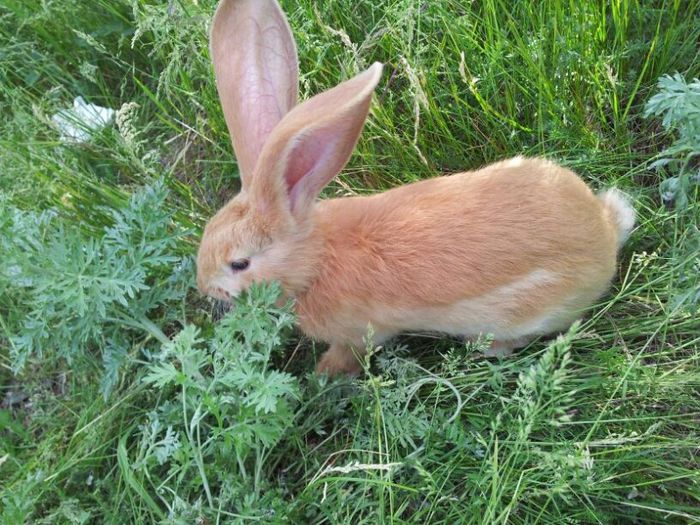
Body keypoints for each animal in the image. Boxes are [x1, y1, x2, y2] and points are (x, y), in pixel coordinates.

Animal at [196, 0, 636, 376]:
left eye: (239, 264)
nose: (204, 285)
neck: (314, 259)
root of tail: (605, 230)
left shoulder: (361, 332)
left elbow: (350, 353)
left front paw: (324, 374)